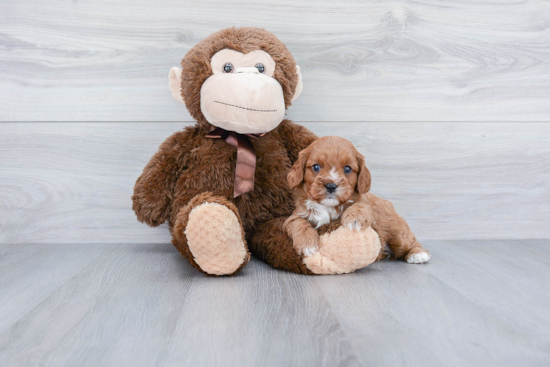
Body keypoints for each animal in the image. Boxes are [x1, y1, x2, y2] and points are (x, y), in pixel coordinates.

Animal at [284, 136, 432, 264]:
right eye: (316, 167)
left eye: (347, 168)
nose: (331, 186)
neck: (328, 206)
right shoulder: (296, 215)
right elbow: (298, 223)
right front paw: (307, 243)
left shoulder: (366, 202)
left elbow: (361, 205)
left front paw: (354, 219)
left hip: (398, 233)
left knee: (410, 242)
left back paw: (418, 254)